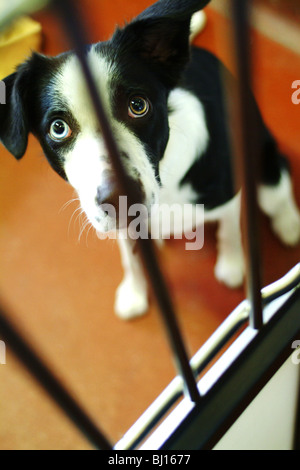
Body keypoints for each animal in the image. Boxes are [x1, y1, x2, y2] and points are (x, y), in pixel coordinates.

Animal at [0, 0, 300, 320]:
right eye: (58, 128)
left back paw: (289, 224)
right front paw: (134, 292)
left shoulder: (228, 195)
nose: (121, 199)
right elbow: (131, 258)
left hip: (264, 162)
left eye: (138, 105)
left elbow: (229, 230)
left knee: (277, 189)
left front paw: (232, 266)